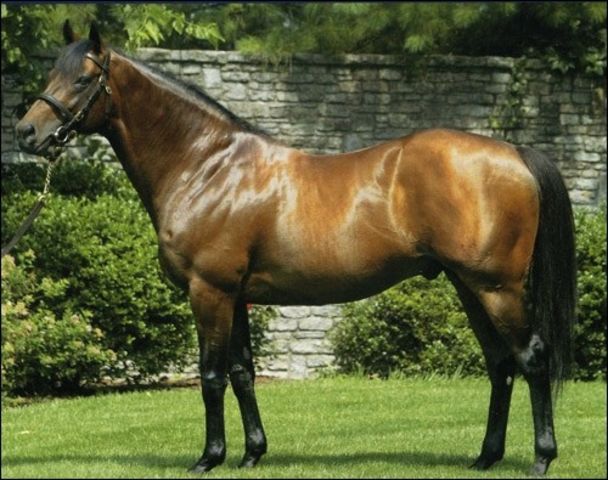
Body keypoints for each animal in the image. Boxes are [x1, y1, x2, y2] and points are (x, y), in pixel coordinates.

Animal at [15, 22, 576, 476]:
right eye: (52, 72)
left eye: (83, 79)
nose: (26, 132)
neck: (206, 167)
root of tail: (514, 152)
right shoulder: (236, 295)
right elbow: (242, 373)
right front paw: (251, 454)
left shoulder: (209, 291)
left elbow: (211, 376)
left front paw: (208, 459)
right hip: (468, 286)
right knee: (501, 364)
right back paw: (485, 458)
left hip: (496, 288)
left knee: (531, 358)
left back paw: (542, 458)